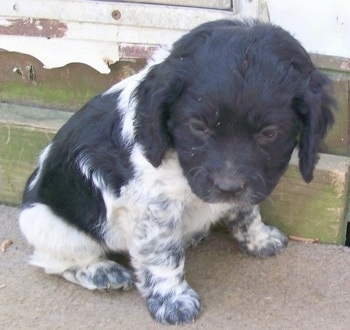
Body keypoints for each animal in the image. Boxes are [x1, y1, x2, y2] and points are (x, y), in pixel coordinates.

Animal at [18, 20, 334, 324]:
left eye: (269, 133)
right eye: (198, 126)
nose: (227, 187)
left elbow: (246, 210)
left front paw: (259, 238)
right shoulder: (154, 206)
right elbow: (162, 255)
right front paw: (173, 301)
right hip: (48, 224)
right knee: (56, 261)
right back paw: (101, 272)